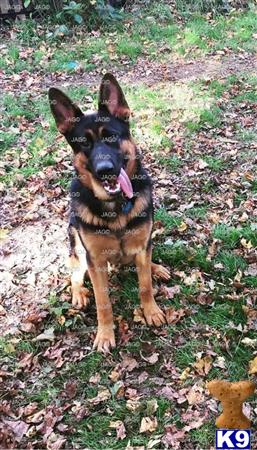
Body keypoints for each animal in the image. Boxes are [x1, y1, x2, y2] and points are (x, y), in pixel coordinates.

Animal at [49, 74, 170, 352]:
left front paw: (151, 311)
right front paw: (105, 334)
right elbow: (103, 301)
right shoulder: (95, 260)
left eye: (111, 137)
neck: (117, 208)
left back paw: (156, 267)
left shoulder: (141, 247)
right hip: (78, 247)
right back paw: (79, 294)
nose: (105, 170)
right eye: (84, 143)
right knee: (75, 274)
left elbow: (145, 286)